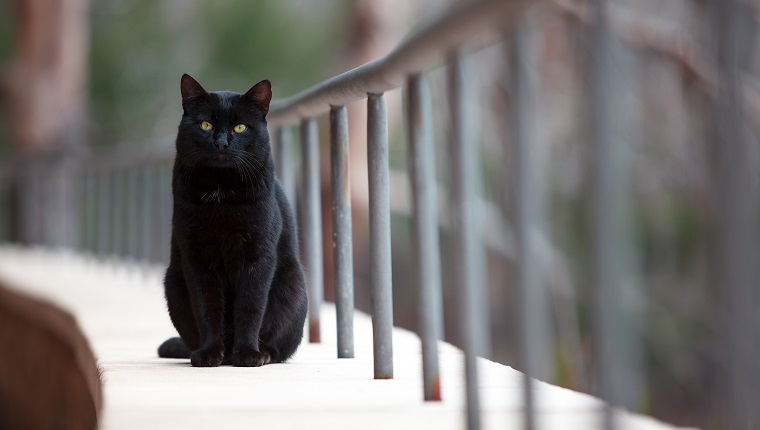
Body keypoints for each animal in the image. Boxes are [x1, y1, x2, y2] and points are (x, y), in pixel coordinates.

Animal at [157, 73, 308, 366]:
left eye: (240, 127)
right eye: (205, 124)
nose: (221, 142)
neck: (221, 191)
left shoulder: (257, 258)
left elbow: (250, 308)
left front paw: (248, 354)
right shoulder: (197, 258)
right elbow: (207, 309)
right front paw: (208, 354)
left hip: (293, 284)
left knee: (279, 344)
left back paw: (262, 354)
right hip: (173, 282)